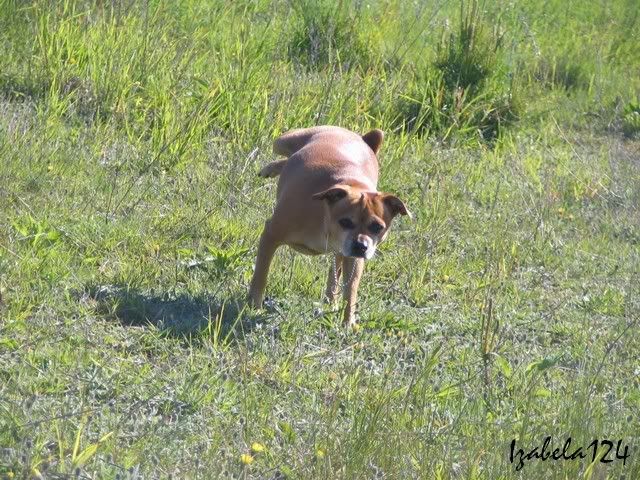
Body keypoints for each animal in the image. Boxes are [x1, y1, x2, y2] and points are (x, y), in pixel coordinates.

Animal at [248, 126, 409, 326]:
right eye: (345, 221)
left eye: (377, 227)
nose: (361, 246)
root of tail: (358, 137)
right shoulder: (271, 234)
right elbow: (261, 274)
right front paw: (254, 304)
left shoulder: (353, 260)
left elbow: (351, 290)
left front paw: (348, 322)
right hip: (283, 141)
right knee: (286, 155)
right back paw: (271, 168)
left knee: (335, 273)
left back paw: (331, 301)